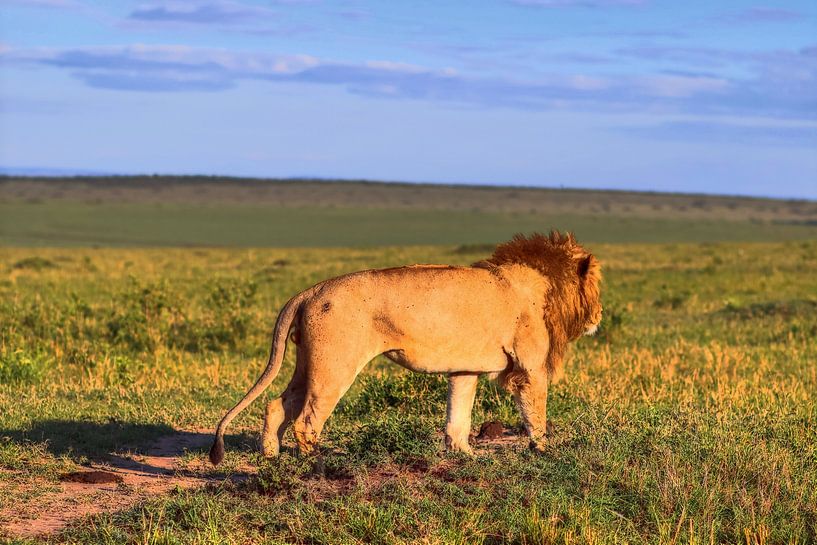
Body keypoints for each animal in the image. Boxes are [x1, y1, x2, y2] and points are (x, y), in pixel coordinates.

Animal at [209, 231, 602, 465]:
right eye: (597, 288)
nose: (599, 316)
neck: (546, 283)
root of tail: (312, 289)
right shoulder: (530, 366)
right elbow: (536, 412)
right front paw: (543, 450)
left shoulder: (465, 367)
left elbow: (458, 414)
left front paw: (464, 455)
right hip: (335, 364)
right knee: (307, 419)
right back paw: (317, 461)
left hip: (309, 362)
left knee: (277, 405)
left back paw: (271, 458)